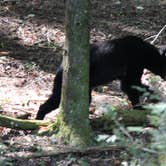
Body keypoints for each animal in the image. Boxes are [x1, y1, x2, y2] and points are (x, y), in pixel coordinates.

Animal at [36, 36, 166, 119]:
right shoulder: (133, 66)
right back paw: (38, 119)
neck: (147, 54)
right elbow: (134, 87)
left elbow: (129, 88)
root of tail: (61, 67)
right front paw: (148, 102)